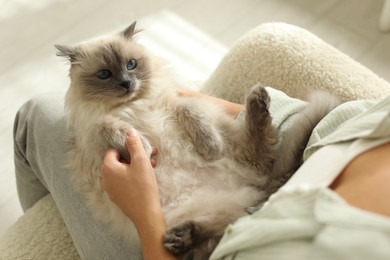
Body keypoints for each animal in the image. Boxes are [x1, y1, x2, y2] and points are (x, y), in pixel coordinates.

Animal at [56, 21, 340, 258]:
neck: (133, 105)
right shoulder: (91, 134)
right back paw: (181, 238)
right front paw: (145, 148)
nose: (126, 83)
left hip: (237, 157)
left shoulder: (176, 101)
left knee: (257, 161)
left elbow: (191, 113)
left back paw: (257, 100)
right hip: (205, 211)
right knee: (221, 231)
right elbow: (111, 127)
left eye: (131, 64)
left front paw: (209, 146)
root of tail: (256, 192)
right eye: (104, 74)